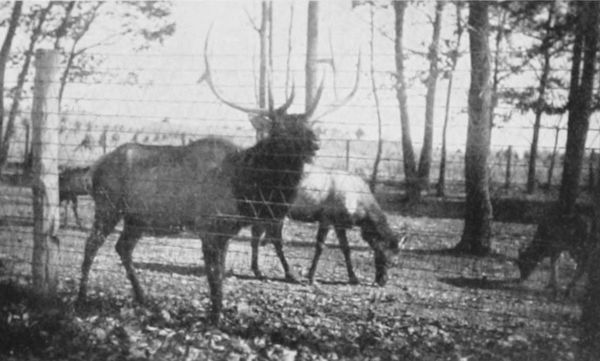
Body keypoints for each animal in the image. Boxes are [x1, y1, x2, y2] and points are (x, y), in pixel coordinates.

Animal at [248, 165, 404, 286]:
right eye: (384, 257)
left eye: (395, 262)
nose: (383, 281)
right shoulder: (326, 218)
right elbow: (320, 247)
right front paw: (311, 277)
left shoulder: (339, 224)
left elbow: (346, 249)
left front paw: (353, 278)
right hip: (273, 209)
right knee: (274, 240)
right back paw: (289, 273)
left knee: (256, 236)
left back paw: (258, 271)